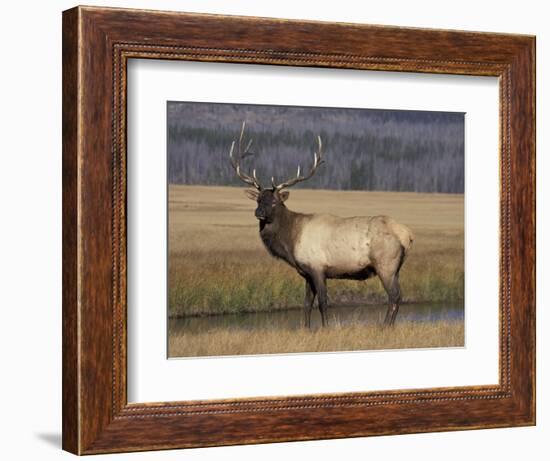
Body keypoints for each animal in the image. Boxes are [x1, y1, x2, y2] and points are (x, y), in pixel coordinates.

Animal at [229, 122, 414, 328]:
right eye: (259, 200)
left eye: (275, 202)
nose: (258, 213)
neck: (290, 241)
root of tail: (407, 235)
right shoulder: (306, 273)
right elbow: (306, 304)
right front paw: (306, 328)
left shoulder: (318, 267)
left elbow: (323, 302)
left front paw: (325, 328)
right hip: (396, 267)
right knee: (398, 295)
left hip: (385, 263)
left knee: (394, 296)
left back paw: (385, 327)